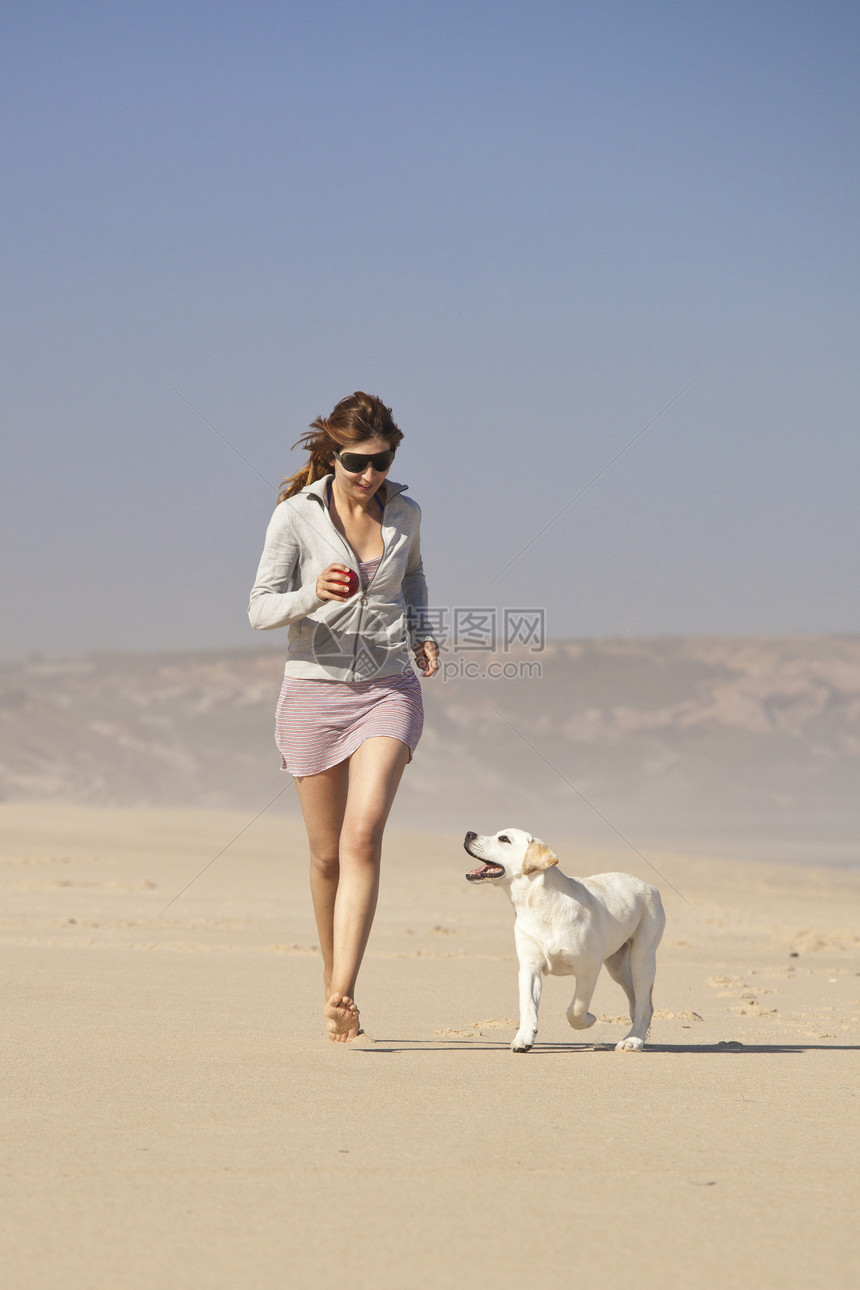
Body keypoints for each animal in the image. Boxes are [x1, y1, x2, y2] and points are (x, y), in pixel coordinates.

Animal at [464, 830, 665, 1052]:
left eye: (504, 839)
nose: (469, 834)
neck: (537, 906)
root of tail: (650, 886)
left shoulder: (589, 969)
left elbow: (576, 1009)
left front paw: (590, 1019)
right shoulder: (529, 967)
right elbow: (527, 1005)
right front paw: (524, 1038)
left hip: (642, 958)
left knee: (643, 1002)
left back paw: (633, 1039)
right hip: (618, 966)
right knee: (639, 1001)